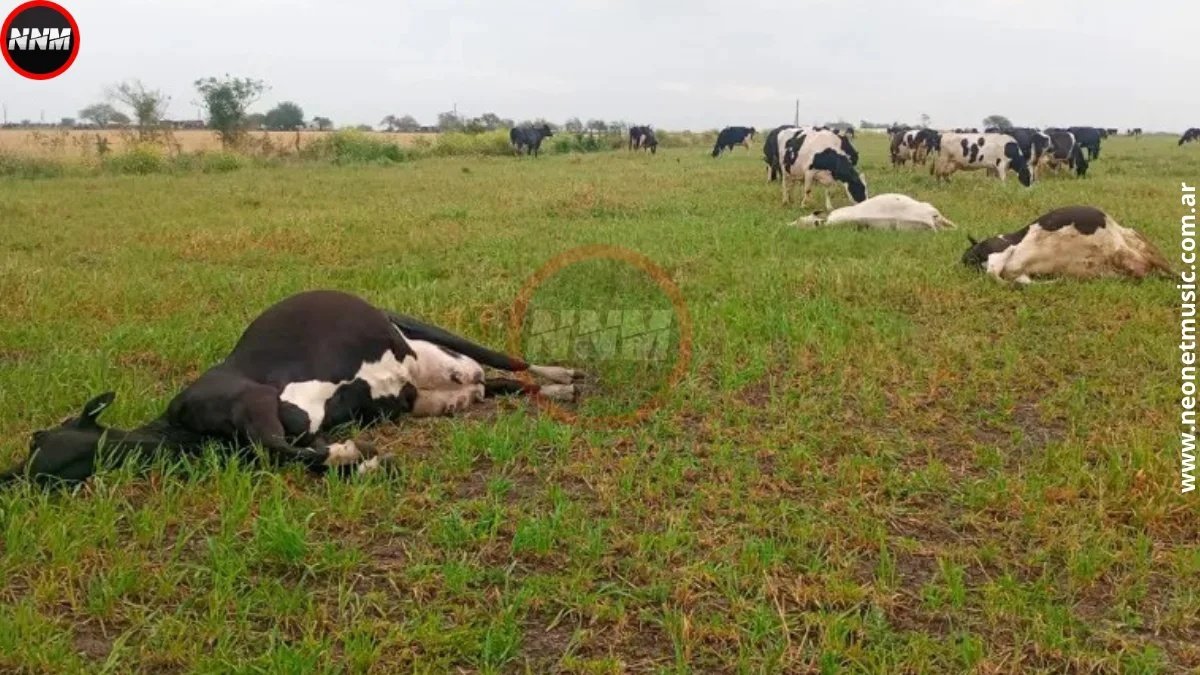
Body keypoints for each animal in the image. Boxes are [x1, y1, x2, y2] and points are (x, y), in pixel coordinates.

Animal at [1, 290, 585, 486]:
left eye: (36, 439)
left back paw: (564, 376)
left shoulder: (253, 402)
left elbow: (273, 446)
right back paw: (549, 392)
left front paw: (354, 457)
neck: (181, 431)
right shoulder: (295, 431)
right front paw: (355, 459)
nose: (11, 478)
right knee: (497, 385)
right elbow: (298, 453)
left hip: (424, 328)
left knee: (509, 360)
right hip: (429, 395)